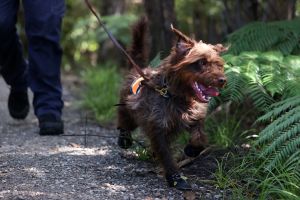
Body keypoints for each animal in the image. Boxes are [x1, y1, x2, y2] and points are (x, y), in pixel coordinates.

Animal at [116, 16, 226, 189]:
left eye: (218, 64)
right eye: (202, 62)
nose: (223, 80)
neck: (177, 96)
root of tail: (138, 69)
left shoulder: (195, 117)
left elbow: (200, 137)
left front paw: (192, 150)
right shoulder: (158, 128)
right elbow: (166, 155)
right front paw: (175, 177)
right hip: (128, 109)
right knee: (124, 121)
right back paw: (124, 139)